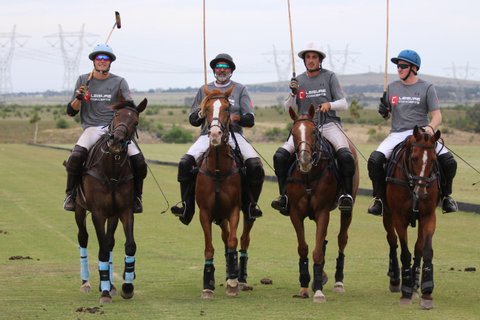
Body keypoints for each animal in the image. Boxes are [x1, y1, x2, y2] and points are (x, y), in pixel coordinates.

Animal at [73, 99, 146, 304]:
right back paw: (86, 283)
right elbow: (103, 250)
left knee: (110, 240)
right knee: (83, 237)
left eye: (135, 122)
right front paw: (104, 293)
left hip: (113, 215)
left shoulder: (125, 210)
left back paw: (110, 284)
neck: (112, 170)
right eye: (115, 116)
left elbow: (129, 245)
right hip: (80, 208)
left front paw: (126, 287)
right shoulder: (97, 213)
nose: (116, 142)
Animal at [195, 86, 255, 298]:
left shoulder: (234, 209)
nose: (214, 134)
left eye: (228, 109)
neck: (218, 169)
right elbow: (209, 248)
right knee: (224, 236)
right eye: (206, 109)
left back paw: (240, 277)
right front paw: (207, 285)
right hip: (219, 216)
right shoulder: (205, 213)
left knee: (244, 239)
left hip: (247, 211)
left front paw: (232, 283)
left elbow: (233, 241)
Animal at [286, 104, 358, 302]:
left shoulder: (322, 211)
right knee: (324, 240)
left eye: (313, 132)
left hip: (346, 208)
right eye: (293, 133)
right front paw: (304, 286)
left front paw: (318, 291)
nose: (304, 160)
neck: (308, 176)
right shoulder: (295, 213)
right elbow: (303, 248)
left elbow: (317, 251)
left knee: (342, 238)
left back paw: (338, 282)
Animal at [384, 125, 440, 310]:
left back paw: (415, 285)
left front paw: (426, 291)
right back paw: (396, 279)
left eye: (434, 160)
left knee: (418, 248)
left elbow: (425, 250)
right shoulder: (398, 217)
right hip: (387, 214)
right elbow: (405, 252)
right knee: (392, 241)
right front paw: (406, 292)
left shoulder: (428, 216)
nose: (421, 193)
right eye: (414, 158)